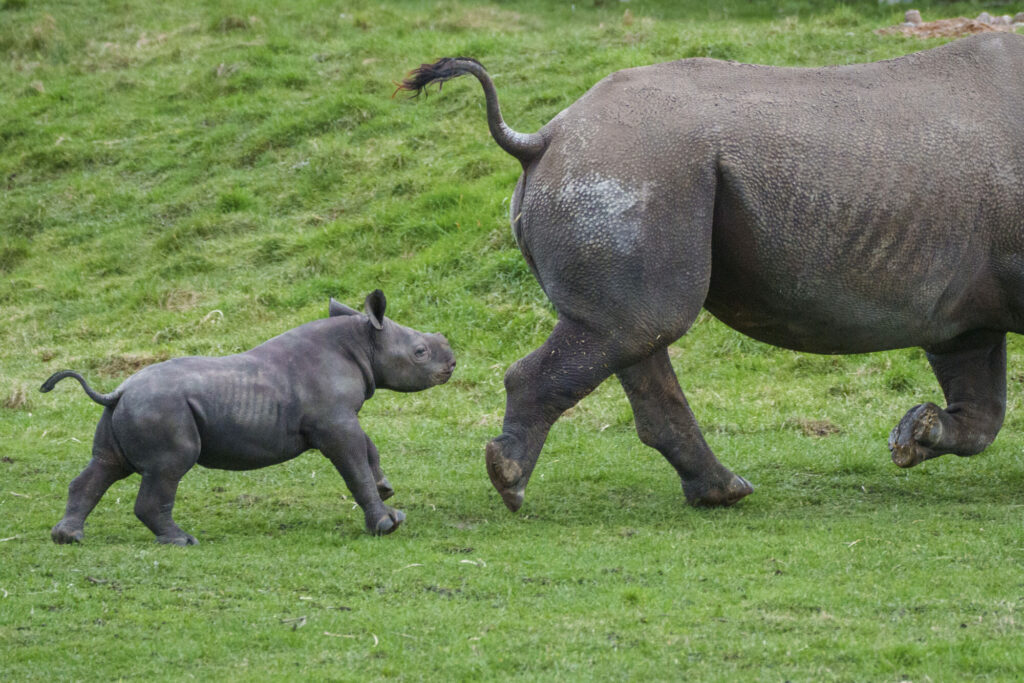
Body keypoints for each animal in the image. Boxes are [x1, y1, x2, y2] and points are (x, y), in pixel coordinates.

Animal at [42, 291, 456, 545]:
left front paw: (387, 490)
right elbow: (355, 466)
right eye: (420, 352)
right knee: (169, 467)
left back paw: (68, 537)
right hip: (161, 409)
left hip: (129, 409)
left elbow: (367, 448)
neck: (362, 342)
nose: (452, 363)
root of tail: (118, 390)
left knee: (106, 464)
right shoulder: (333, 421)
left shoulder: (336, 418)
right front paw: (387, 523)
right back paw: (182, 541)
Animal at [400, 33, 1024, 512]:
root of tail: (544, 139)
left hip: (627, 173)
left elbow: (983, 406)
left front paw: (915, 435)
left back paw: (721, 493)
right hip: (635, 170)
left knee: (625, 334)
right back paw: (512, 486)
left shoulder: (963, 308)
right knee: (636, 327)